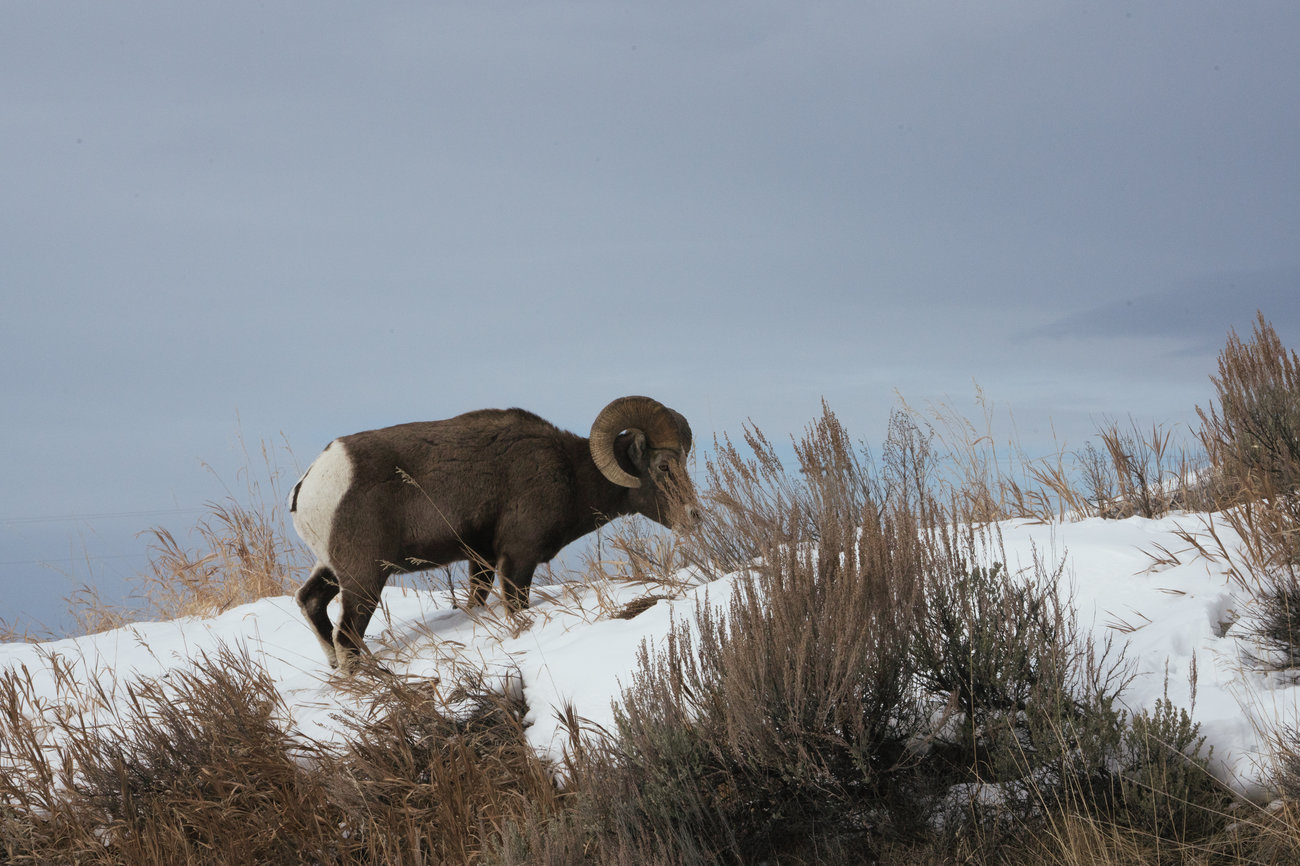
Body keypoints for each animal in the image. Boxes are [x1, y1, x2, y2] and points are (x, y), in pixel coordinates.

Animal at [290, 395, 698, 671]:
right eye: (664, 466)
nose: (694, 516)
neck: (569, 473)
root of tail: (310, 483)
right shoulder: (517, 559)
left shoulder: (482, 562)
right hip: (365, 579)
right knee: (346, 636)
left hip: (334, 570)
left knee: (311, 602)